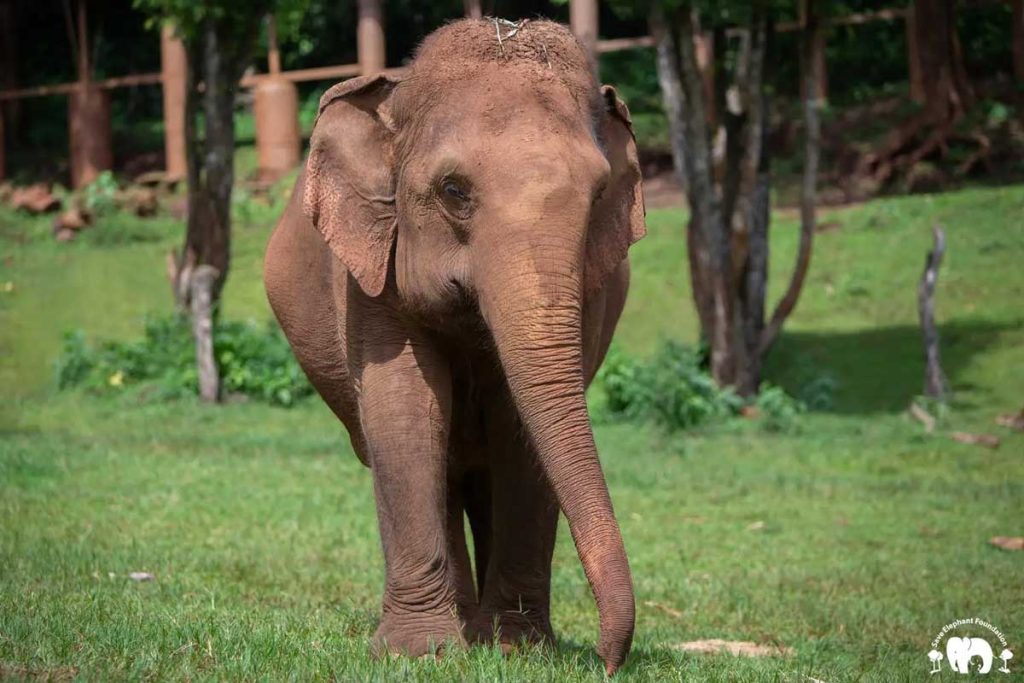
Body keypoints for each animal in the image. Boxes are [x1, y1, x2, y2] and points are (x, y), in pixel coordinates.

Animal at [264, 18, 647, 675]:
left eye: (598, 195)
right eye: (453, 190)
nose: (607, 660)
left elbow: (520, 429)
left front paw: (519, 649)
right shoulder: (369, 275)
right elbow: (406, 411)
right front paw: (418, 654)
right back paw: (460, 632)